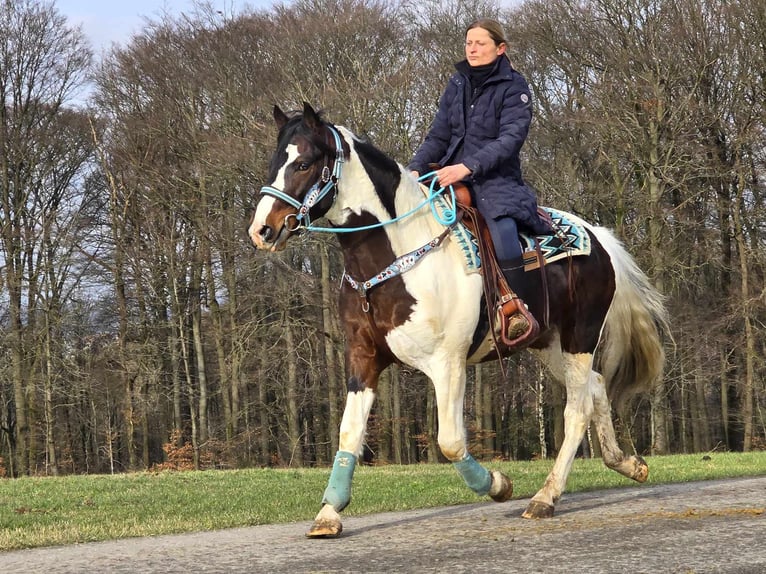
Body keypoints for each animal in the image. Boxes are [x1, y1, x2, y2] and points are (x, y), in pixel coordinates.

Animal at [249, 102, 668, 540]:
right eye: (275, 162)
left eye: (304, 163)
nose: (262, 230)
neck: (395, 259)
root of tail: (598, 236)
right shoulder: (363, 360)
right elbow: (350, 432)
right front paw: (329, 513)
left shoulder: (447, 363)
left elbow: (450, 440)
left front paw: (498, 485)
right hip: (548, 344)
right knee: (597, 387)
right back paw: (627, 463)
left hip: (580, 337)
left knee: (577, 410)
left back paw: (545, 497)